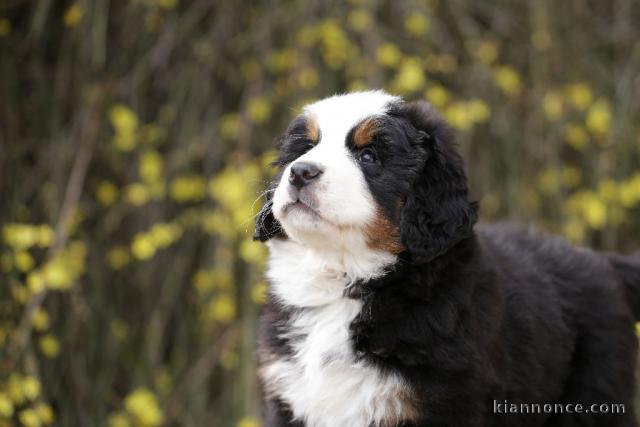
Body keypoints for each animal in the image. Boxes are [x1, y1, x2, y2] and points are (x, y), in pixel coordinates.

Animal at [252, 91, 636, 427]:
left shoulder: (443, 401)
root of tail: (603, 263)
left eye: (369, 156)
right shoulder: (289, 399)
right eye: (306, 147)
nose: (301, 171)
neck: (345, 279)